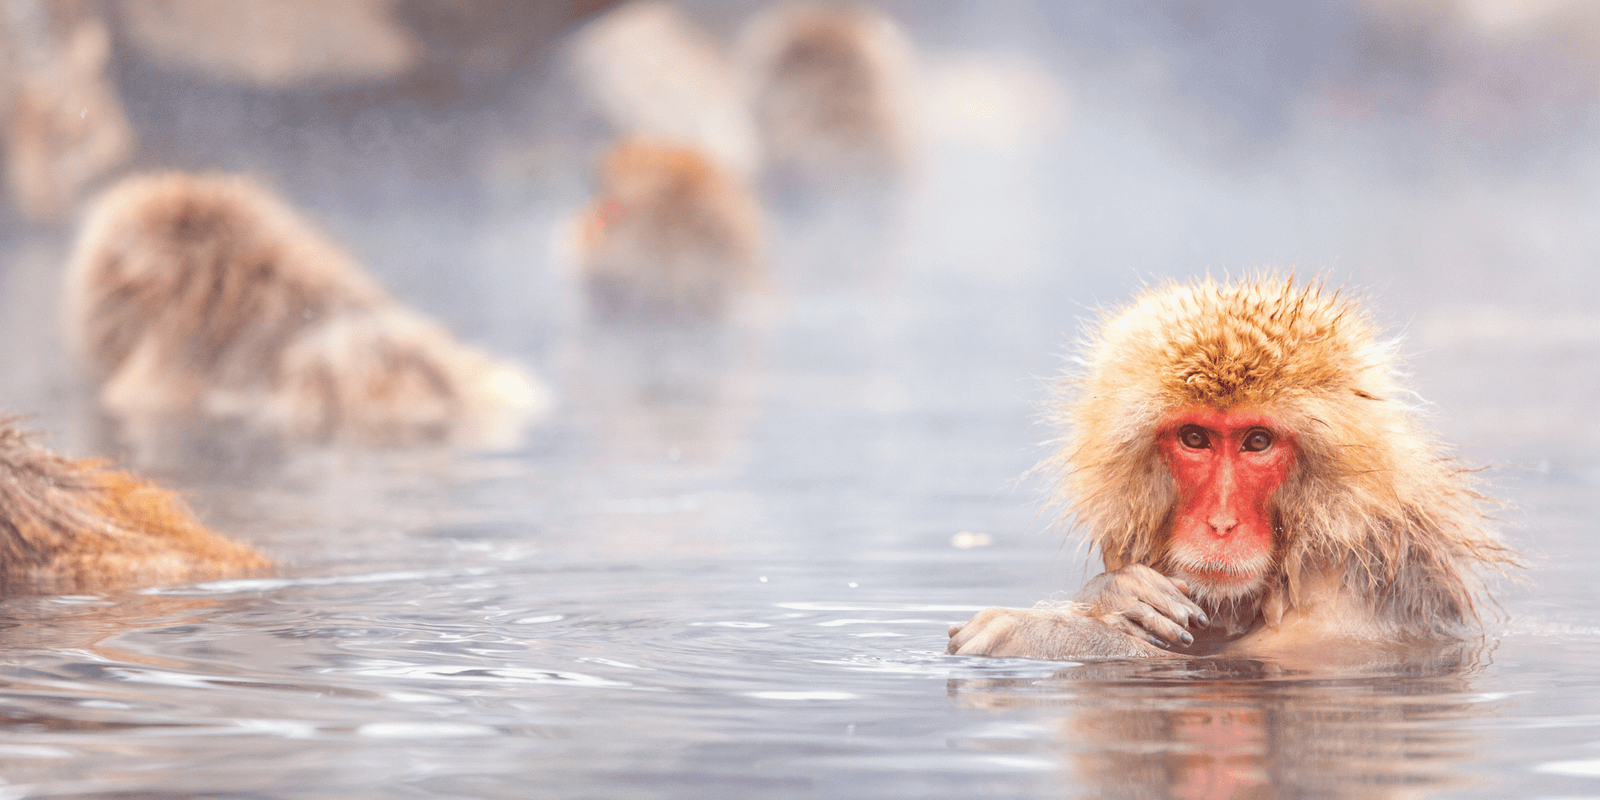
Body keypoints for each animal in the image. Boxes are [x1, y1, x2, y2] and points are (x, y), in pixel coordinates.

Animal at [947, 277, 1519, 663]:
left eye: (1257, 442)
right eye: (1195, 439)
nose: (1222, 524)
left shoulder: (1340, 615)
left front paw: (1047, 627)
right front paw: (1119, 595)